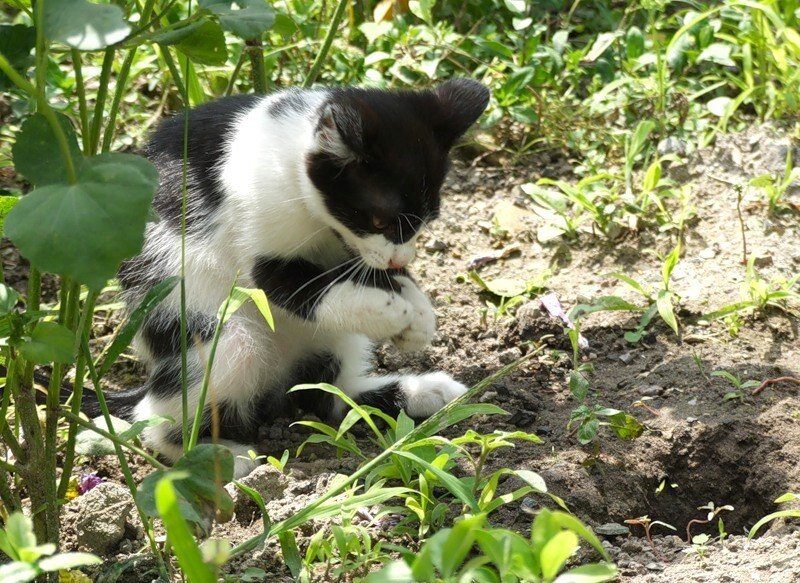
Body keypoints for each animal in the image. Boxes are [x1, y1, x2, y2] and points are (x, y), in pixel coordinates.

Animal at [109, 78, 490, 480]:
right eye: (378, 221)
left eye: (427, 220)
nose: (399, 258)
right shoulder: (259, 230)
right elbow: (295, 287)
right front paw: (392, 312)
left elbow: (375, 275)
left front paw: (418, 315)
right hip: (205, 331)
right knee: (163, 409)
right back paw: (217, 454)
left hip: (330, 344)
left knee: (330, 396)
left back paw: (419, 392)